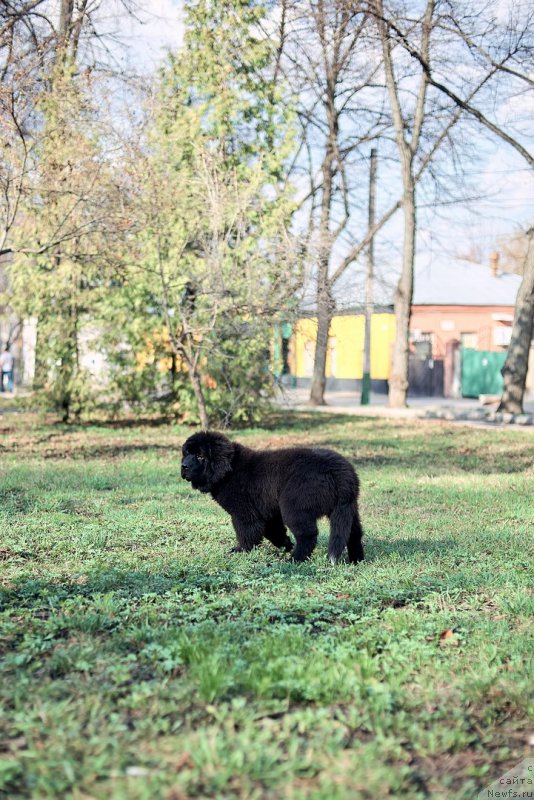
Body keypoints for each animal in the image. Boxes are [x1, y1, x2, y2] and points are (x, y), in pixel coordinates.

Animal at [182, 432, 366, 564]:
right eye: (187, 453)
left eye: (200, 456)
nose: (183, 466)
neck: (229, 470)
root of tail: (339, 472)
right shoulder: (267, 512)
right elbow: (274, 532)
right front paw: (286, 544)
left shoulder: (245, 513)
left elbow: (247, 533)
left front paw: (240, 550)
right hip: (348, 508)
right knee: (354, 533)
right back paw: (356, 560)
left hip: (294, 506)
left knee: (308, 534)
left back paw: (294, 559)